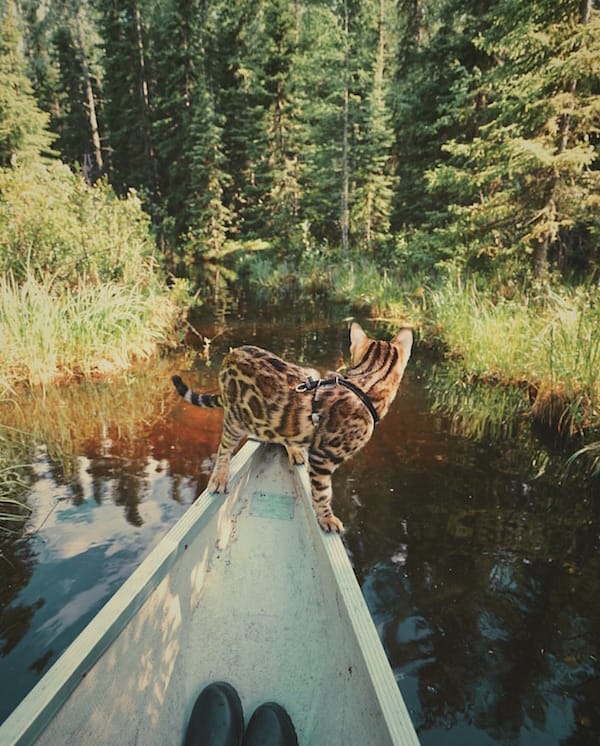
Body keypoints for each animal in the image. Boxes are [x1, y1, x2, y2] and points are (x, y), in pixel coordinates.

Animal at [171, 322, 410, 532]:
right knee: (224, 448)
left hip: (304, 378)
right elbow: (322, 493)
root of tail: (232, 353)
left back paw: (293, 449)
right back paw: (219, 477)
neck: (365, 384)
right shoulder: (322, 458)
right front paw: (327, 518)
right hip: (235, 419)